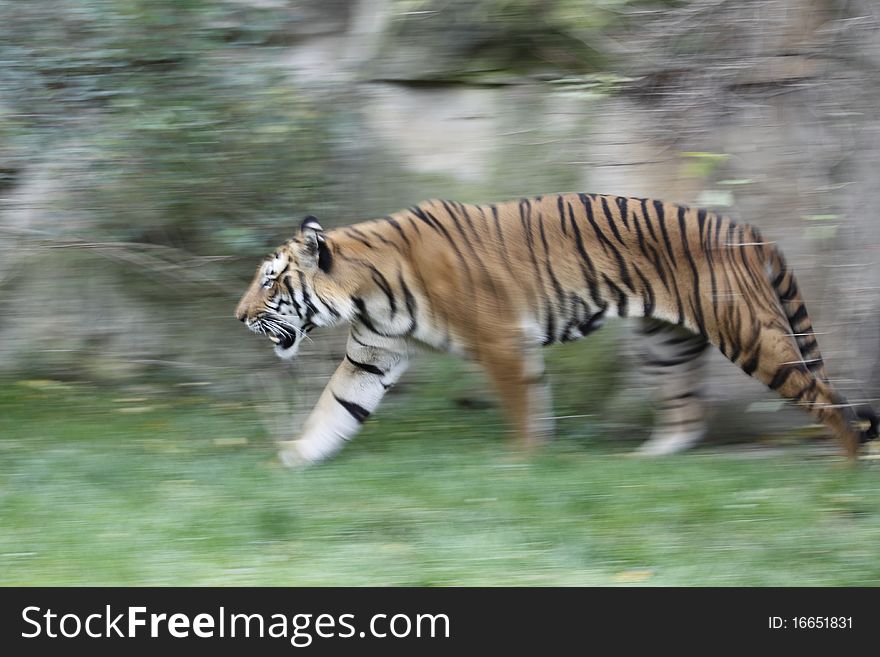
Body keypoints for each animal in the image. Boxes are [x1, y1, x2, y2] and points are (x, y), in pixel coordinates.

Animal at [235, 192, 880, 464]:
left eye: (269, 281)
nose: (237, 316)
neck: (365, 295)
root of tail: (744, 229)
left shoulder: (500, 341)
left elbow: (523, 409)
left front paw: (524, 467)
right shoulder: (373, 355)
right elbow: (335, 411)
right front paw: (291, 460)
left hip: (753, 338)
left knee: (830, 401)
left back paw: (844, 473)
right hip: (664, 343)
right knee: (686, 412)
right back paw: (648, 459)